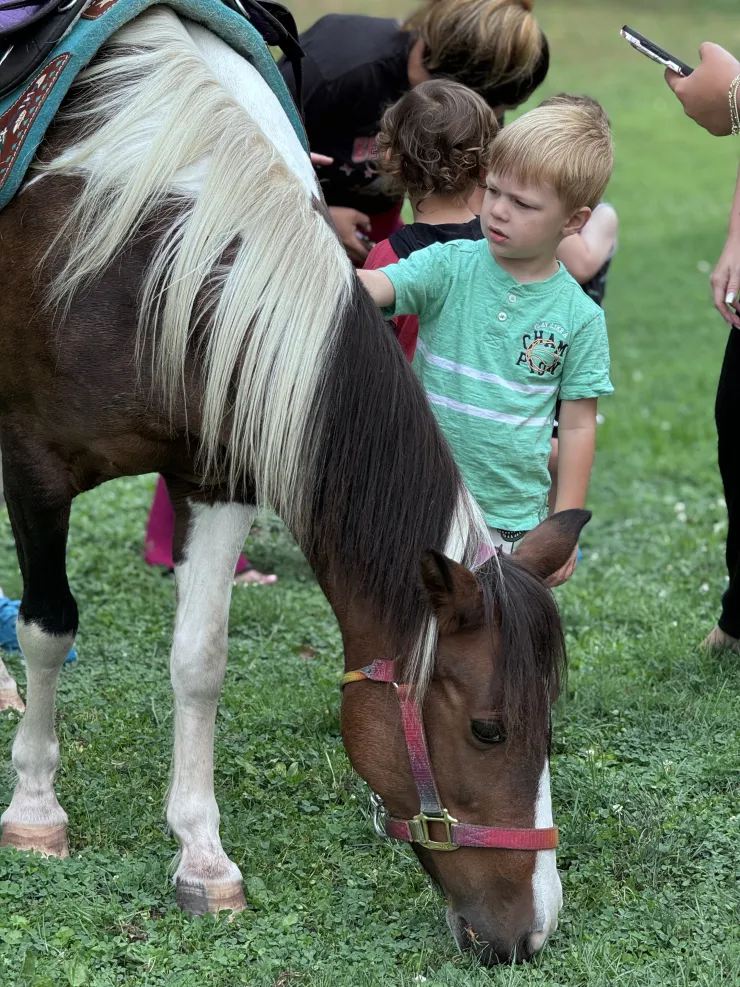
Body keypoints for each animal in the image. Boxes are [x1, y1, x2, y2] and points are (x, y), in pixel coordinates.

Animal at [0, 7, 588, 965]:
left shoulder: (219, 476)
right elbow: (49, 630)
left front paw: (202, 854)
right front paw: (35, 807)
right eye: (487, 728)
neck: (149, 253)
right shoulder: (34, 467)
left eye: (552, 725)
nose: (531, 929)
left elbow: (199, 660)